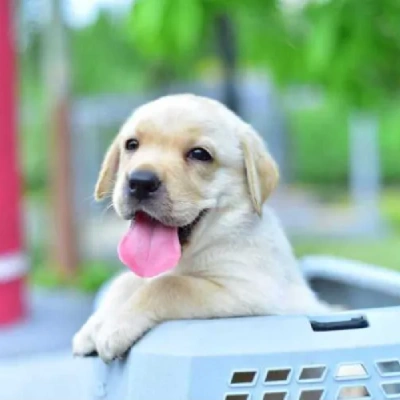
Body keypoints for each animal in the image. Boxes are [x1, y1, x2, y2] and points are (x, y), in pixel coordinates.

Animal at [73, 94, 330, 362]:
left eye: (199, 154)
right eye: (131, 145)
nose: (140, 182)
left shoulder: (250, 291)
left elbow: (169, 285)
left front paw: (113, 327)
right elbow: (125, 282)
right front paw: (93, 326)